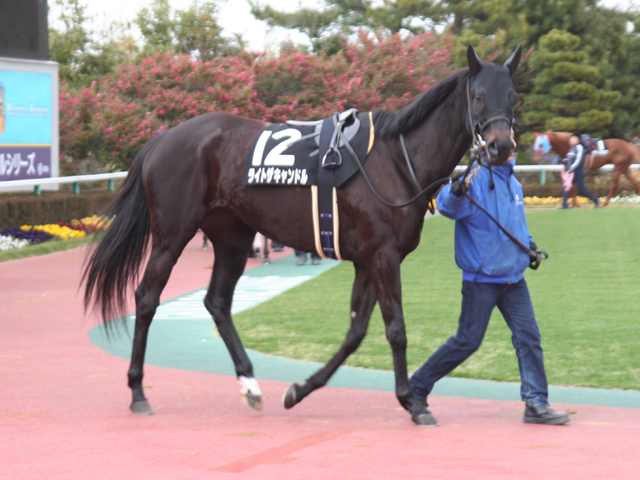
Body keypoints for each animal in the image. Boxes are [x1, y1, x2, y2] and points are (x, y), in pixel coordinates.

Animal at [82, 43, 522, 426]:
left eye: (513, 97)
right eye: (479, 96)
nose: (500, 147)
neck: (398, 160)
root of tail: (162, 140)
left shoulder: (366, 260)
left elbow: (355, 333)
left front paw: (299, 390)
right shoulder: (382, 255)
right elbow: (395, 329)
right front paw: (412, 402)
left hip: (233, 236)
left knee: (217, 301)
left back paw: (250, 383)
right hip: (172, 235)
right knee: (147, 298)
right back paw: (138, 391)